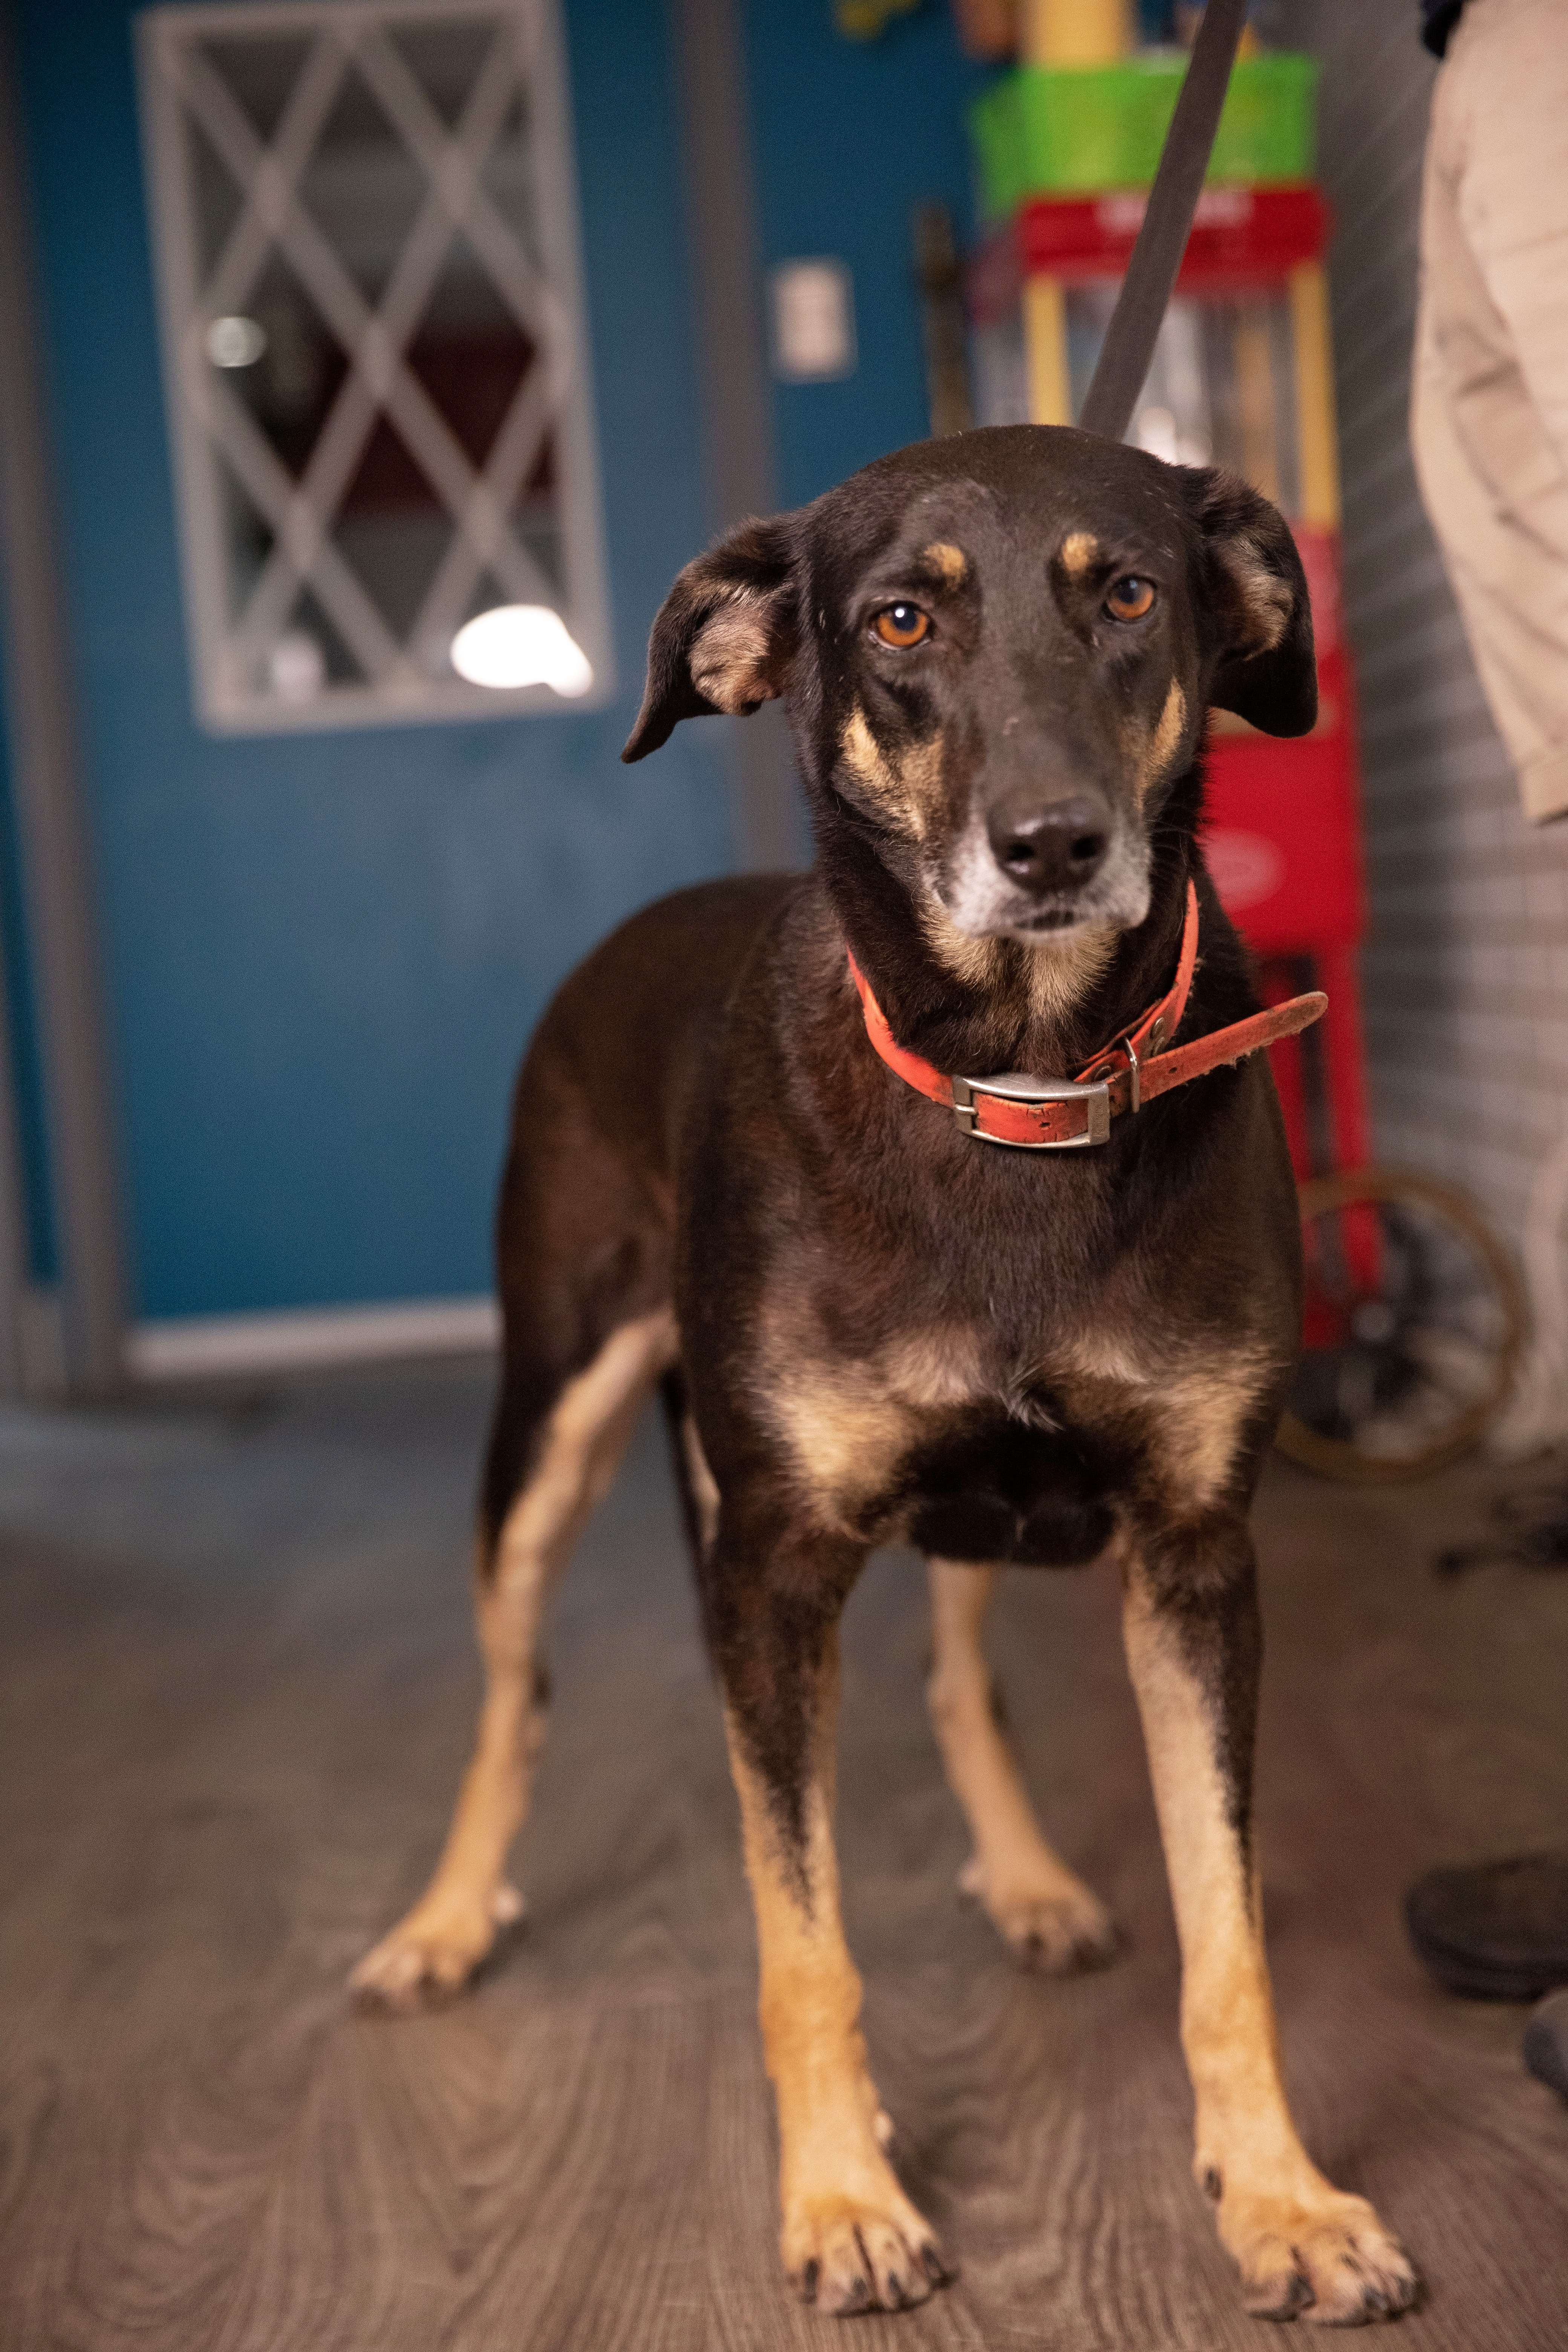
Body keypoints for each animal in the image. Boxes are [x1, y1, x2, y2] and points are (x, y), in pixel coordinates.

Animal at [352, 428, 1420, 2333]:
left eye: (1126, 592)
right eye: (900, 620)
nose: (1055, 842)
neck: (1014, 1080)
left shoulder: (1193, 1559)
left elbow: (1225, 1930)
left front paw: (1280, 2199)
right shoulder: (771, 1571)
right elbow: (803, 1942)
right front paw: (842, 2197)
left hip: (971, 1513)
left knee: (957, 1672)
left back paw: (1033, 1877)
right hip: (546, 1425)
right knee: (512, 1693)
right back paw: (449, 1918)